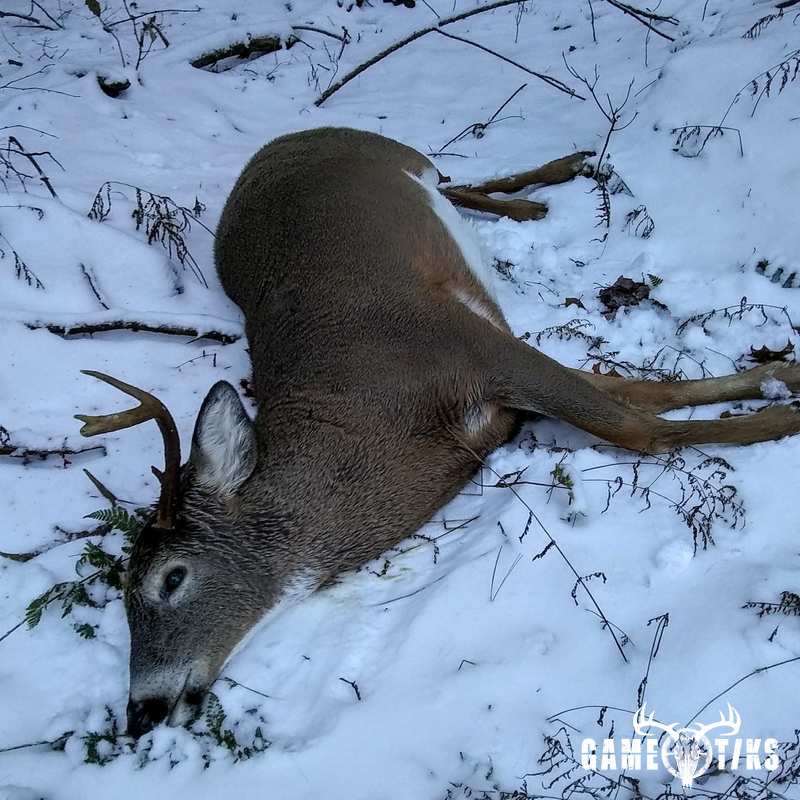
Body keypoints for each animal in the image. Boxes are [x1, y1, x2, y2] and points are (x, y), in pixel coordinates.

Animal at [74, 127, 800, 738]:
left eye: (171, 578)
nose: (139, 713)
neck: (376, 422)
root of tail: (278, 143)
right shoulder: (503, 396)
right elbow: (645, 398)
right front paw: (780, 378)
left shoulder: (479, 349)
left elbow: (637, 425)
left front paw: (783, 405)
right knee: (454, 184)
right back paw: (549, 192)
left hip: (386, 147)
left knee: (450, 172)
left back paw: (565, 171)